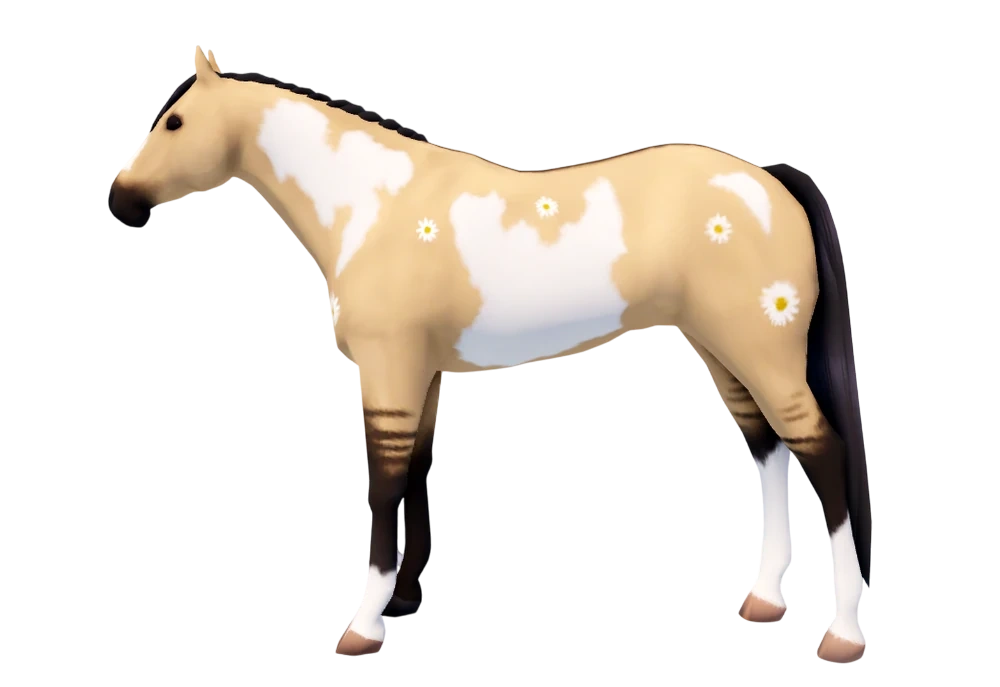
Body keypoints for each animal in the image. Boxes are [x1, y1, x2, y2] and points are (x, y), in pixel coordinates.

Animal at [110, 47, 870, 662]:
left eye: (174, 122)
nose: (120, 196)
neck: (371, 207)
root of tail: (768, 180)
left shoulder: (388, 374)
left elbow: (384, 487)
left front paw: (363, 625)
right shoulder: (420, 379)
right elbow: (415, 474)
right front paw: (404, 601)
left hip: (761, 352)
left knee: (821, 451)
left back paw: (841, 634)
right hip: (721, 352)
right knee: (770, 451)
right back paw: (765, 600)